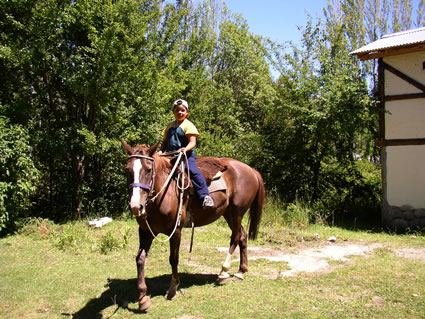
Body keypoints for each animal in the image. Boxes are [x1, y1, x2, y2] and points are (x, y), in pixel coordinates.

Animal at [121, 141, 264, 314]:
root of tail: (251, 170)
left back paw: (223, 273)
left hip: (237, 212)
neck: (164, 192)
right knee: (242, 235)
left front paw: (173, 289)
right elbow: (140, 259)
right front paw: (142, 298)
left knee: (235, 237)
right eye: (128, 170)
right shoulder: (145, 231)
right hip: (228, 214)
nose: (136, 206)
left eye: (148, 170)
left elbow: (173, 259)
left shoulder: (176, 230)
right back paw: (240, 272)